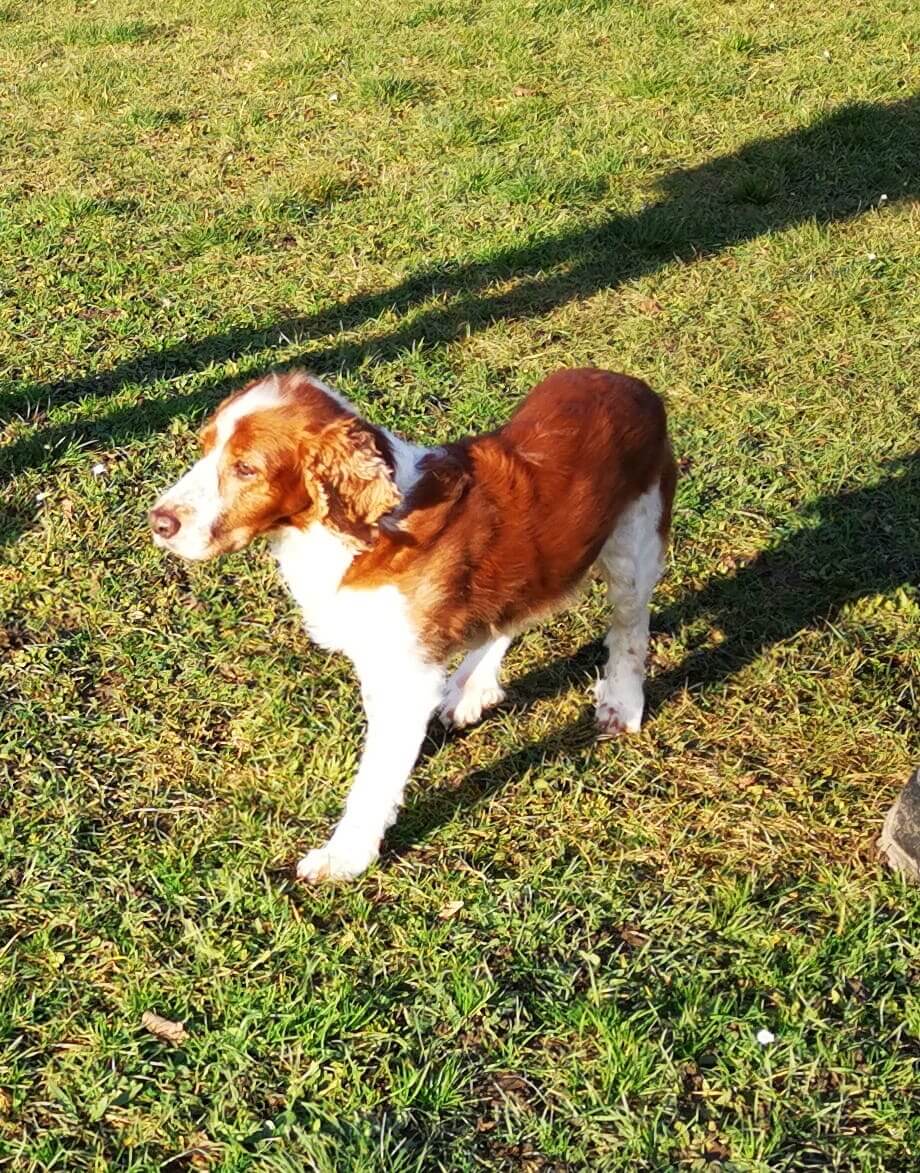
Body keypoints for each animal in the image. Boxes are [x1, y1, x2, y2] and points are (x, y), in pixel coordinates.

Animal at [150, 367, 676, 881]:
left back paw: (622, 704)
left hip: (634, 544)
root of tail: (633, 385)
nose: (159, 522)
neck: (361, 533)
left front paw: (344, 857)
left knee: (630, 626)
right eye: (204, 448)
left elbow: (375, 778)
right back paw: (471, 687)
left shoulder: (405, 675)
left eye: (246, 468)